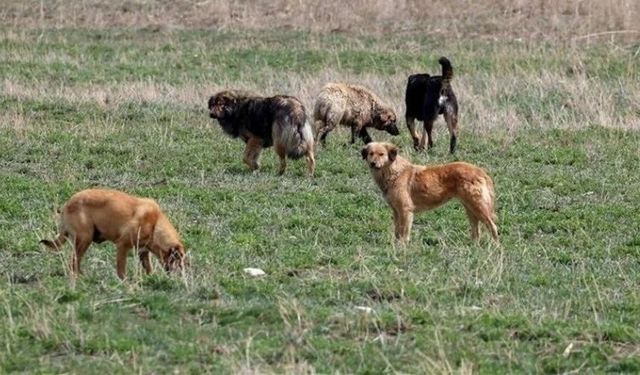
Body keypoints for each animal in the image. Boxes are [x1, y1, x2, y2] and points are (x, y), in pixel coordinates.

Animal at [40, 189, 186, 280]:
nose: (181, 276)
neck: (155, 224)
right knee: (73, 263)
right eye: (178, 260)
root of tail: (67, 205)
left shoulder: (143, 252)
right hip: (85, 239)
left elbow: (148, 269)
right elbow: (121, 269)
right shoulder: (122, 246)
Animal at [362, 143, 498, 244]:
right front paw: (396, 245)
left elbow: (404, 233)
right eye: (370, 154)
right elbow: (397, 232)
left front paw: (402, 247)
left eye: (381, 154)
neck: (394, 172)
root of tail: (480, 171)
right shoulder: (396, 211)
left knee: (493, 226)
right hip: (470, 208)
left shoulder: (405, 210)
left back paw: (495, 246)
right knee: (476, 230)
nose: (372, 163)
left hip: (478, 207)